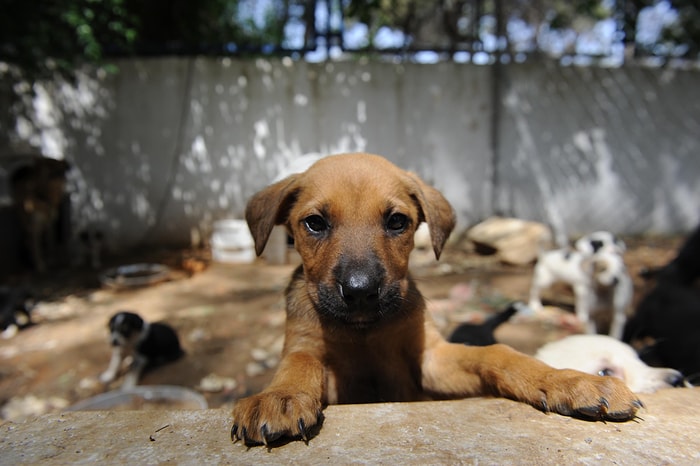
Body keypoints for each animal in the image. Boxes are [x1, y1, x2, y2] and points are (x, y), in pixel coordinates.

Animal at [230, 155, 640, 446]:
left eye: (397, 221)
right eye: (314, 223)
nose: (361, 292)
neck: (364, 332)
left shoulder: (430, 360)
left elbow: (498, 354)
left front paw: (569, 381)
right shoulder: (314, 355)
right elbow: (300, 362)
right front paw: (281, 395)